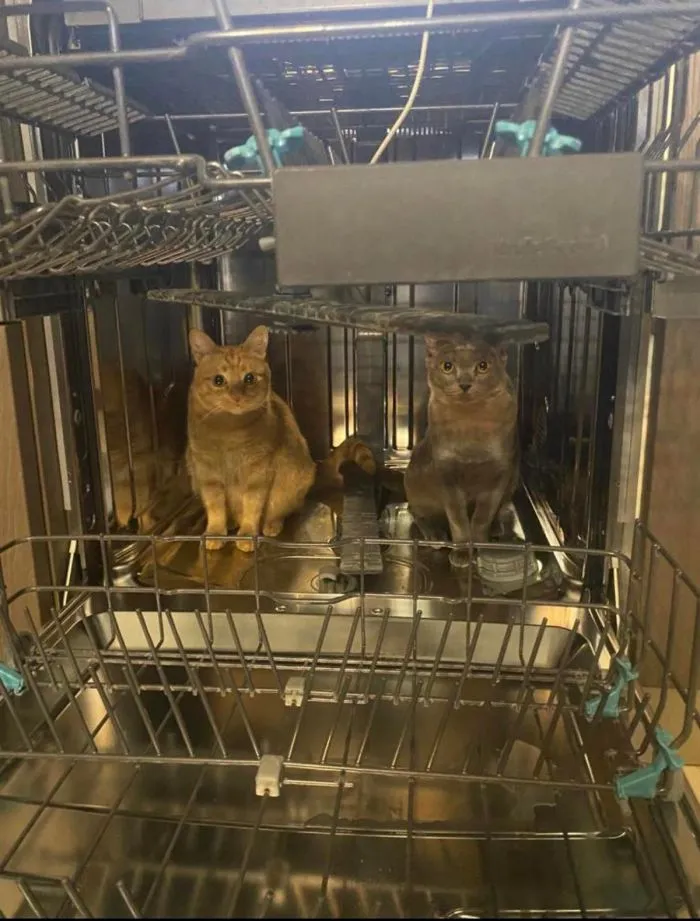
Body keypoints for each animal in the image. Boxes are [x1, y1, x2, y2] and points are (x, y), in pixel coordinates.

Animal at [187, 326, 377, 552]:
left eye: (249, 378)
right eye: (218, 380)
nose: (237, 397)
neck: (228, 431)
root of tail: (315, 467)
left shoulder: (257, 473)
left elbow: (252, 507)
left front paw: (247, 535)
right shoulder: (207, 475)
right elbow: (215, 508)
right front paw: (215, 532)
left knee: (283, 511)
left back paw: (271, 525)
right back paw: (232, 522)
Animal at [404, 335, 518, 567]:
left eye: (483, 366)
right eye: (447, 366)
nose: (465, 384)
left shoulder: (500, 472)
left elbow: (482, 517)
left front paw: (481, 545)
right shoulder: (446, 473)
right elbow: (457, 519)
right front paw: (463, 552)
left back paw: (496, 528)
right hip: (415, 481)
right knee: (414, 510)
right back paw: (434, 534)